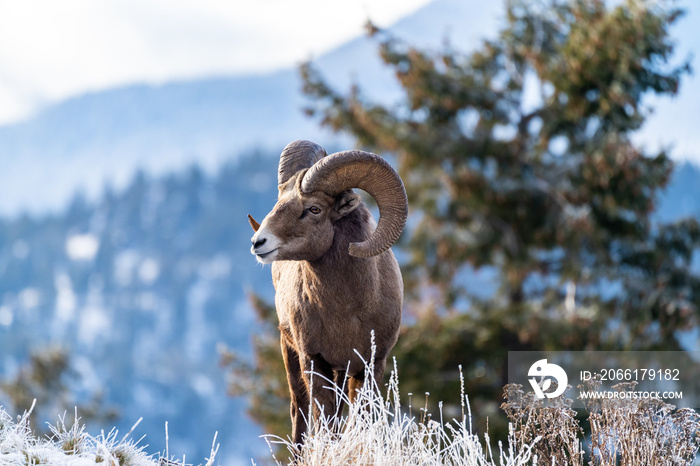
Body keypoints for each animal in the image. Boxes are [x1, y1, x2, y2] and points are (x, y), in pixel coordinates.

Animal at [249, 139, 408, 444]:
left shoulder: (370, 365)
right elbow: (324, 422)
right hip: (290, 355)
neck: (347, 311)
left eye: (314, 209)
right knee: (299, 412)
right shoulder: (314, 361)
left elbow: (359, 421)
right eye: (280, 201)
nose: (258, 242)